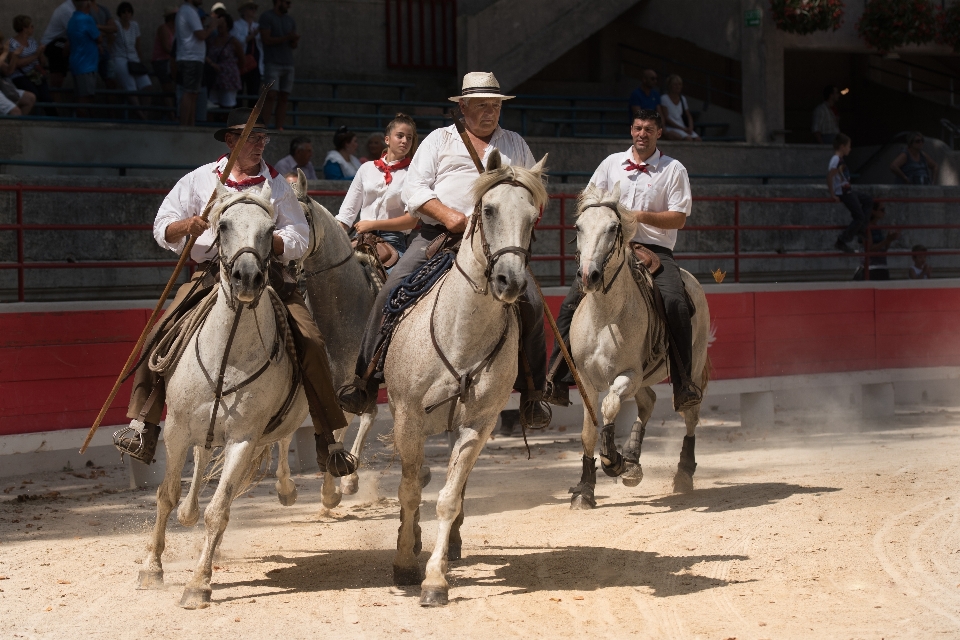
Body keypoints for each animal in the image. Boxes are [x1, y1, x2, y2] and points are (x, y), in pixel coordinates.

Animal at [133, 178, 308, 608]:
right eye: (223, 225)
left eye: (270, 230)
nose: (247, 277)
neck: (229, 352)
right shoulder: (176, 429)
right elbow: (165, 495)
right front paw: (152, 568)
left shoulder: (244, 438)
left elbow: (220, 510)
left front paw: (199, 584)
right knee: (200, 458)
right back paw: (187, 511)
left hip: (276, 425)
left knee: (282, 442)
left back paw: (285, 490)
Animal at [384, 150, 548, 604]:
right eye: (488, 209)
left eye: (533, 216)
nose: (510, 280)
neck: (461, 331)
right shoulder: (408, 417)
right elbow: (409, 489)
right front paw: (405, 563)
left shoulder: (479, 422)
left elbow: (449, 498)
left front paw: (435, 580)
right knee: (414, 479)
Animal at [568, 181, 708, 510]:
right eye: (579, 227)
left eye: (613, 228)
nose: (588, 276)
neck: (604, 316)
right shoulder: (585, 380)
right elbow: (587, 432)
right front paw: (585, 490)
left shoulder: (628, 375)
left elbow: (609, 407)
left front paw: (613, 460)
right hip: (646, 379)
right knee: (648, 402)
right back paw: (633, 461)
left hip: (692, 370)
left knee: (690, 416)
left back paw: (683, 473)